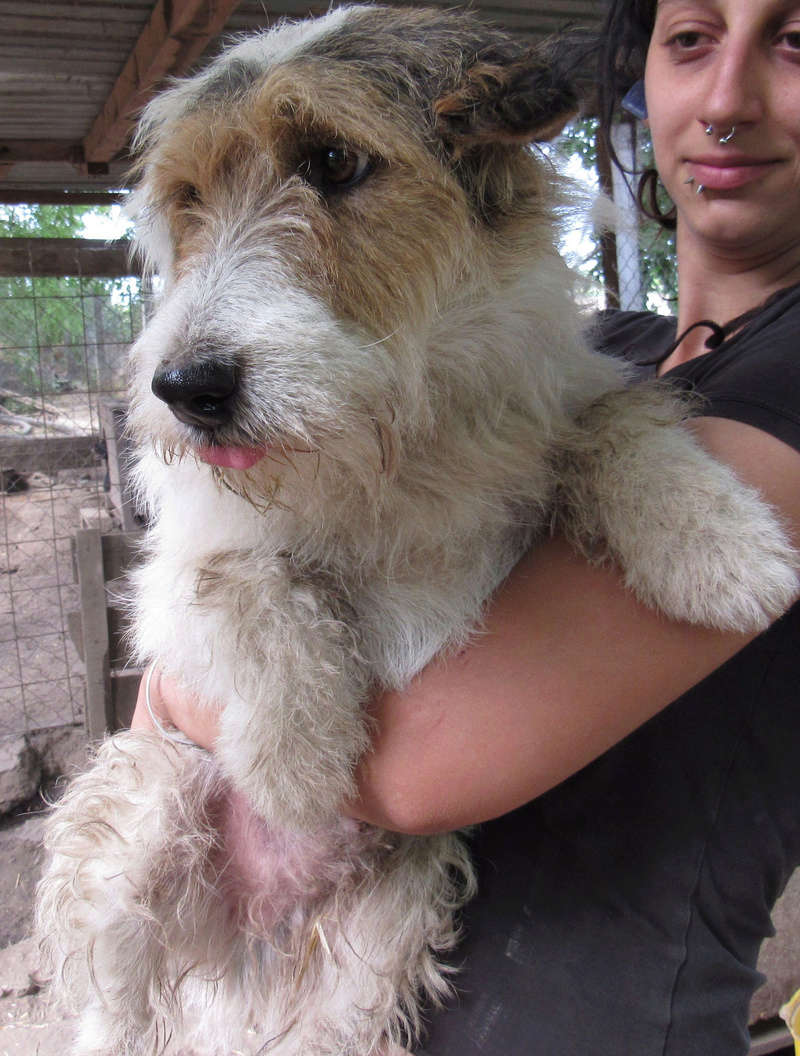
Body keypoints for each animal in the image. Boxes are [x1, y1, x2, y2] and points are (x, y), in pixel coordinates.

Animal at [37, 4, 800, 1051]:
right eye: (189, 199)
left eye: (331, 161)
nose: (185, 390)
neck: (393, 437)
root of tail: (252, 949)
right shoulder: (172, 574)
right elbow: (253, 577)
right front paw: (294, 760)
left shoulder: (555, 408)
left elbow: (613, 422)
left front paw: (721, 545)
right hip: (141, 809)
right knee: (111, 1011)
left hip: (377, 950)